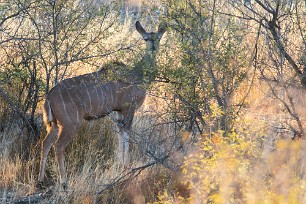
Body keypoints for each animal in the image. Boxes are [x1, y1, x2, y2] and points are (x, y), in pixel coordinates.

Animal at [39, 20, 166, 188]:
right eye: (145, 39)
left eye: (158, 38)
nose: (153, 48)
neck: (137, 75)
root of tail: (49, 96)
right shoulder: (129, 109)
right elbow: (126, 133)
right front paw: (126, 166)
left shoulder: (119, 111)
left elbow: (120, 134)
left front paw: (120, 164)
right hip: (70, 123)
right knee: (58, 146)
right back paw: (64, 182)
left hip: (54, 124)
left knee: (45, 143)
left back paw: (40, 180)